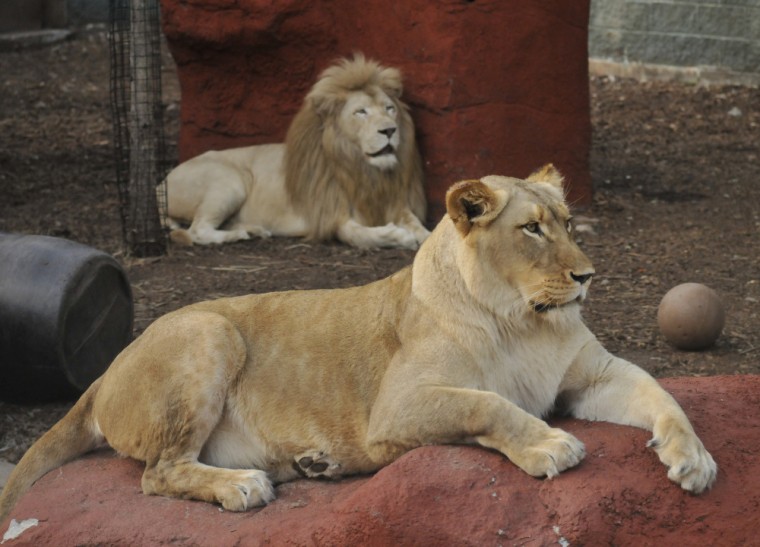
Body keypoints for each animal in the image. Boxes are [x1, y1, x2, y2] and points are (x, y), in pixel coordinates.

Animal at [0, 165, 716, 520]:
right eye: (532, 229)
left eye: (569, 222)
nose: (588, 276)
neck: (523, 320)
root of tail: (105, 370)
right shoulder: (398, 408)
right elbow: (489, 404)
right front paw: (549, 445)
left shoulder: (593, 376)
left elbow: (663, 395)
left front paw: (694, 460)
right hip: (207, 329)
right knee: (157, 473)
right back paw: (243, 486)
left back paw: (307, 465)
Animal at [165, 52, 428, 249]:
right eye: (361, 112)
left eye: (389, 108)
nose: (390, 130)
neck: (362, 169)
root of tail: (162, 182)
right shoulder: (331, 215)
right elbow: (360, 235)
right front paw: (398, 236)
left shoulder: (394, 202)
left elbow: (417, 223)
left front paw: (424, 235)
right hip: (229, 180)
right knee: (198, 230)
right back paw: (238, 235)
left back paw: (253, 230)